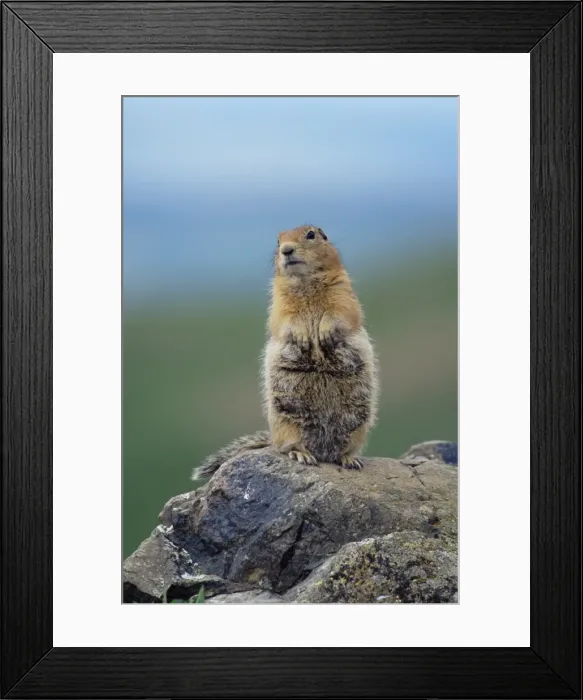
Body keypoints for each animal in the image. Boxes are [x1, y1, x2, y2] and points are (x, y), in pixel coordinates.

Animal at [192, 225, 379, 480]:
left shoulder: (343, 290)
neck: (305, 281)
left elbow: (342, 312)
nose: (286, 250)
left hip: (359, 422)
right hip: (286, 419)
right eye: (278, 240)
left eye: (311, 234)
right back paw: (302, 455)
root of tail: (323, 451)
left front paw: (325, 333)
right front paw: (302, 337)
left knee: (346, 448)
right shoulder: (279, 300)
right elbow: (284, 319)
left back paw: (349, 459)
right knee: (288, 446)